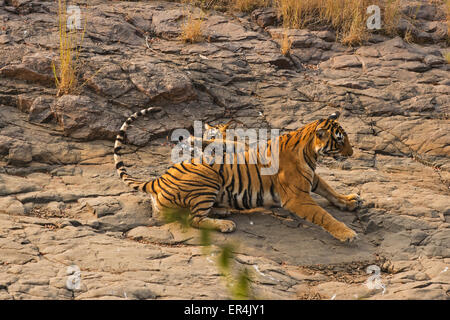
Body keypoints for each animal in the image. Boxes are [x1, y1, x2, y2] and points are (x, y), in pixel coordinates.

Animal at [115, 106, 362, 241]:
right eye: (340, 140)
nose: (352, 152)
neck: (309, 152)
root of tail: (158, 180)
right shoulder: (297, 198)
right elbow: (324, 216)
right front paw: (347, 233)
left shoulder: (312, 178)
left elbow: (330, 190)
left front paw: (349, 201)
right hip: (208, 177)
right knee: (194, 219)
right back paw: (225, 224)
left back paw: (222, 211)